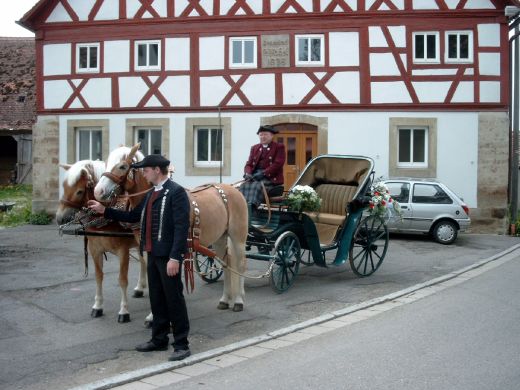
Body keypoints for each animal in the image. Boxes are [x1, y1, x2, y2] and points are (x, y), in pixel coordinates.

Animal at [55, 159, 147, 322]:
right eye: (64, 187)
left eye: (79, 191)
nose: (59, 218)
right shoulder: (94, 250)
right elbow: (98, 277)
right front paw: (97, 306)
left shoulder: (123, 252)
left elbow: (122, 280)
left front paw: (124, 311)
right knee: (144, 262)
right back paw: (140, 288)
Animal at [95, 145, 250, 312]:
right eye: (106, 164)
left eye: (123, 166)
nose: (98, 192)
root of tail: (234, 189)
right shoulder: (147, 250)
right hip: (220, 238)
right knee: (226, 263)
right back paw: (225, 299)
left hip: (238, 237)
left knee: (240, 264)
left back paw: (239, 299)